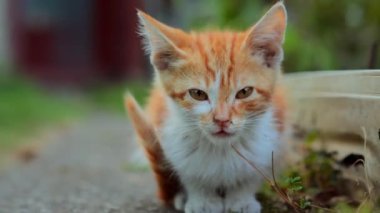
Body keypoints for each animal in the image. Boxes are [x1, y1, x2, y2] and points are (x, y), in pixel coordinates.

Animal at [126, 2, 286, 213]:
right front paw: (202, 200)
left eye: (244, 92)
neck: (221, 150)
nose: (222, 120)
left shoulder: (271, 140)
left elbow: (250, 175)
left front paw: (241, 199)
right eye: (198, 94)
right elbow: (189, 174)